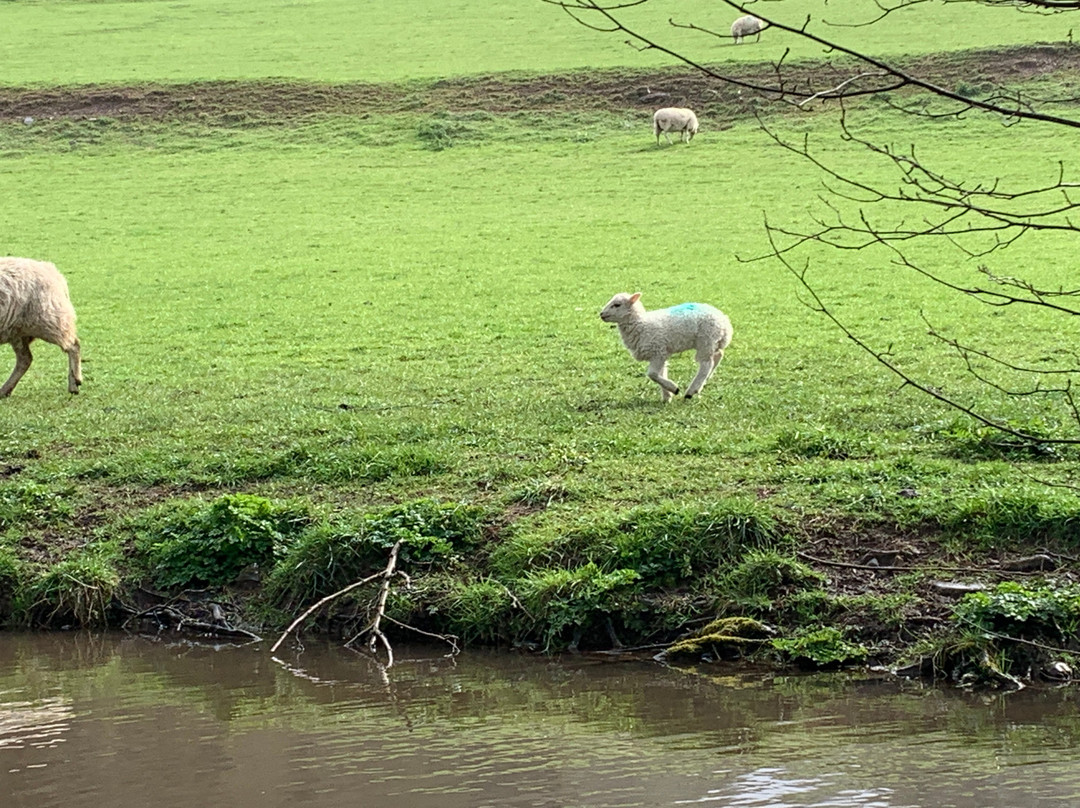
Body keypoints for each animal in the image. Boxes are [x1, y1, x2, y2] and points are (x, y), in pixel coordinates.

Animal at [0, 259, 82, 397]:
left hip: (49, 320)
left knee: (73, 345)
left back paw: (74, 383)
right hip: (17, 332)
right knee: (25, 359)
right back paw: (5, 390)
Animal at [600, 291, 734, 401]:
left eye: (617, 305)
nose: (601, 314)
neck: (641, 324)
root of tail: (725, 322)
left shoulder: (658, 351)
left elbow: (652, 374)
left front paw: (674, 389)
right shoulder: (661, 354)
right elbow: (660, 373)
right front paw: (667, 396)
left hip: (706, 340)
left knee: (706, 364)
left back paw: (691, 391)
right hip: (713, 342)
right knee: (718, 355)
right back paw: (706, 380)